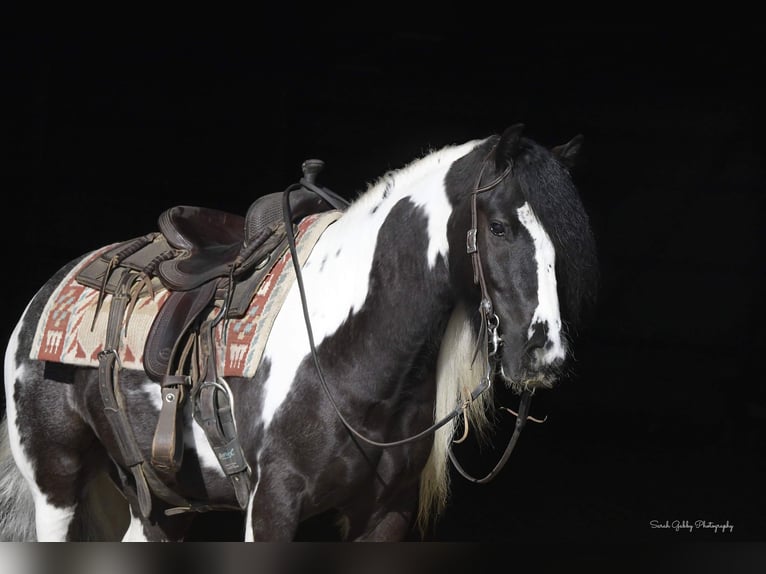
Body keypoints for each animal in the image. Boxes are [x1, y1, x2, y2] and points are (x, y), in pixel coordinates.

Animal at [0, 124, 600, 544]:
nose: (544, 353)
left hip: (160, 504)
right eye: (498, 227)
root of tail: (45, 294)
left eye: (566, 241)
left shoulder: (385, 515)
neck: (349, 351)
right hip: (55, 485)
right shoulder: (271, 506)